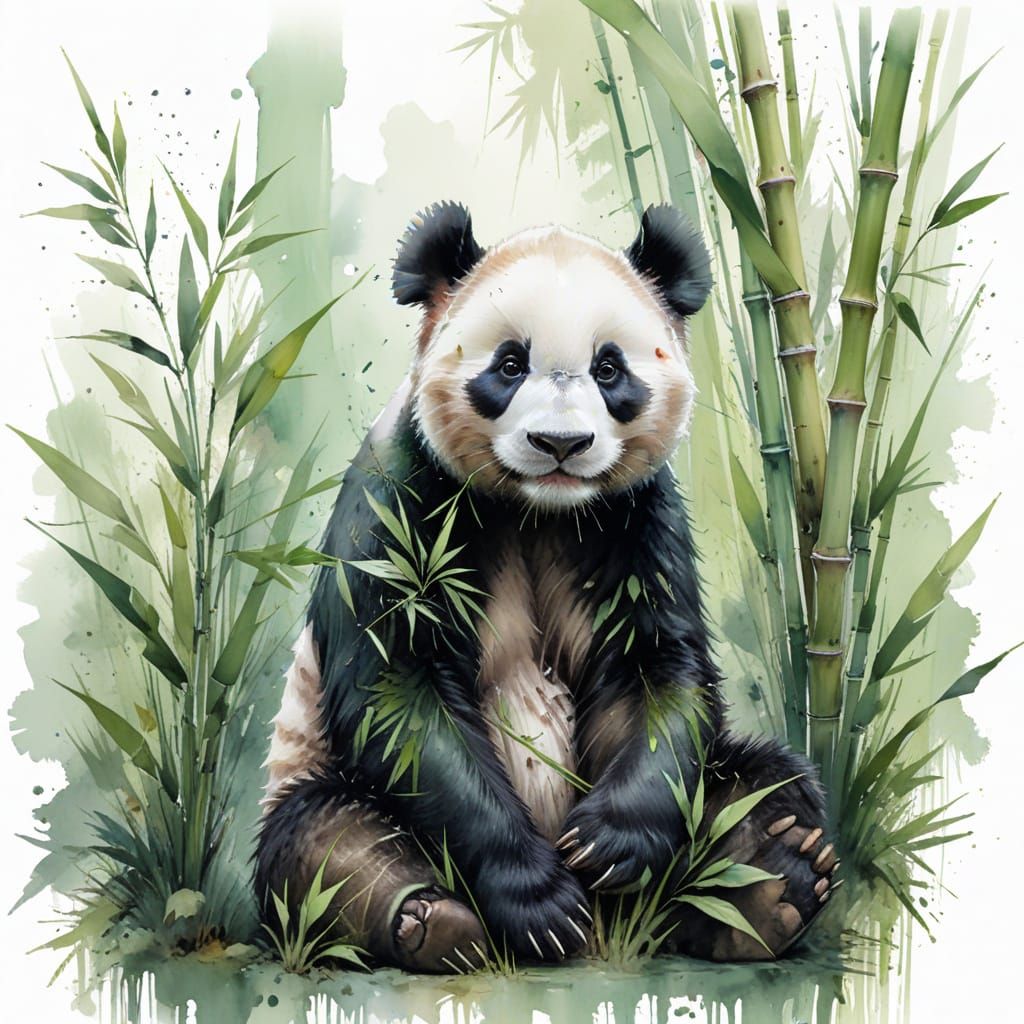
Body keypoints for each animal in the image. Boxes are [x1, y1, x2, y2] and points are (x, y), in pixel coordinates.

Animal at [254, 202, 837, 972]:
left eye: (609, 367)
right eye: (508, 364)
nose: (561, 444)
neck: (539, 508)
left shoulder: (634, 518)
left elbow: (650, 669)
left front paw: (608, 844)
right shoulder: (400, 500)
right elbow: (399, 687)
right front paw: (538, 901)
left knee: (761, 781)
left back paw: (768, 881)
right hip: (311, 775)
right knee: (323, 841)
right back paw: (437, 920)